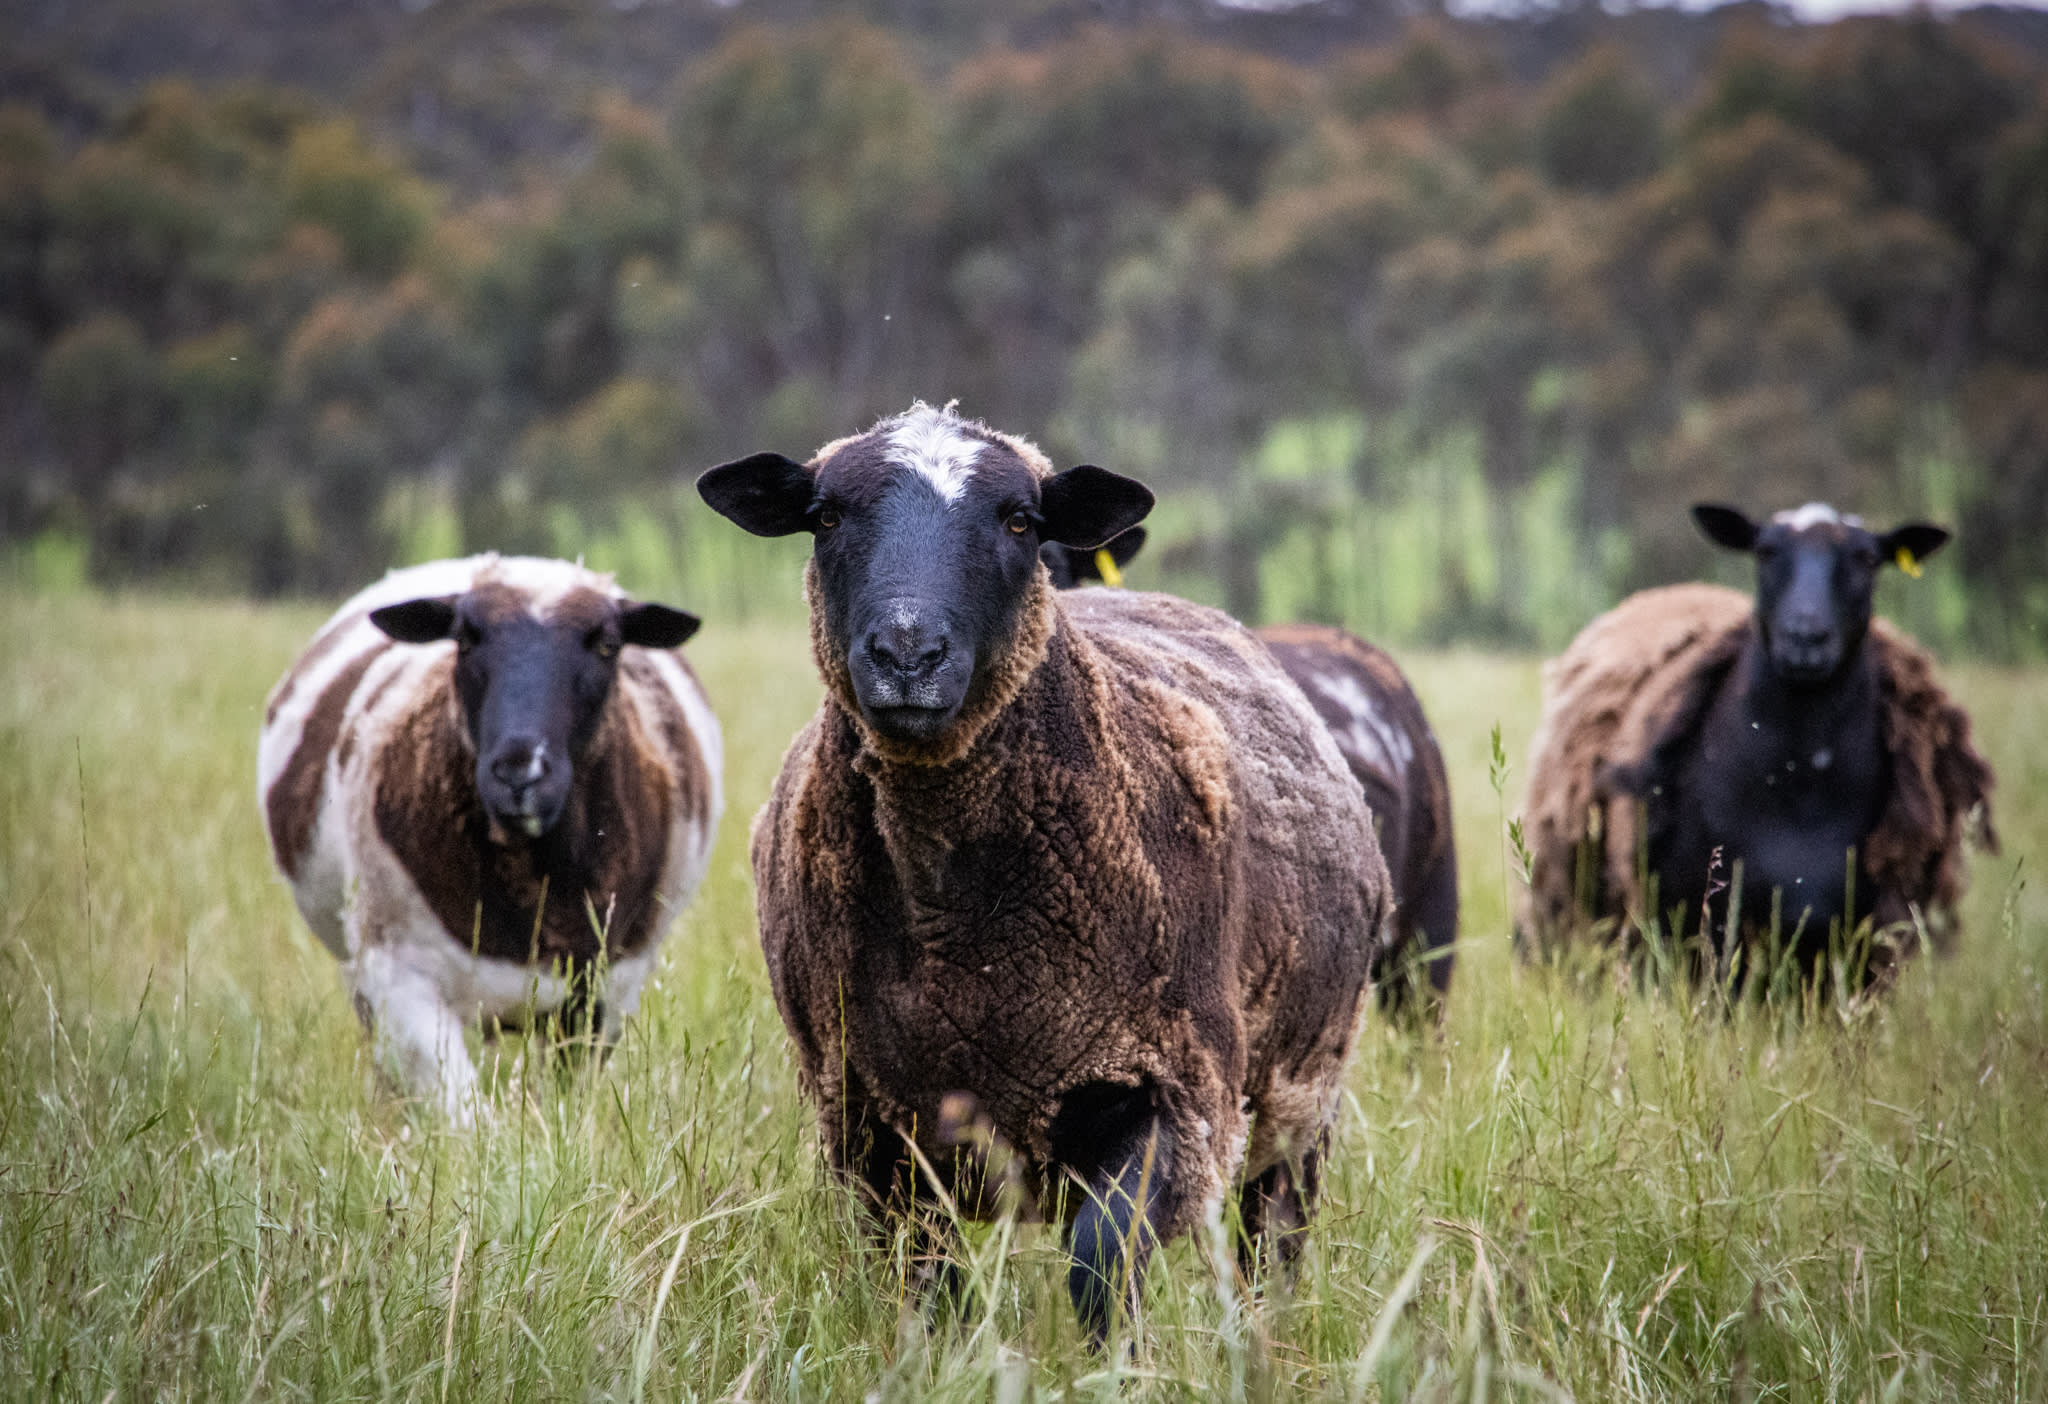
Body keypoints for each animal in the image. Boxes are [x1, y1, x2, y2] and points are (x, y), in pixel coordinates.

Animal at [258, 554, 722, 1123]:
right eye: (464, 639)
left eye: (607, 644)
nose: (521, 771)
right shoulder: (400, 980)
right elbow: (468, 1120)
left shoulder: (607, 991)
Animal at [697, 402, 1391, 1343]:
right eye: (827, 517)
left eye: (1020, 520)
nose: (908, 654)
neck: (961, 945)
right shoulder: (871, 1125)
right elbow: (931, 1293)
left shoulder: (1170, 1084)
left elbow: (1102, 1261)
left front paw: (1118, 1365)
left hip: (1303, 1081)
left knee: (1273, 1235)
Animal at [1518, 502, 1996, 987]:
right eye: (1765, 551)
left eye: (1867, 558)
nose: (1805, 638)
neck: (1801, 791)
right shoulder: (1694, 921)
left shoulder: (1868, 938)